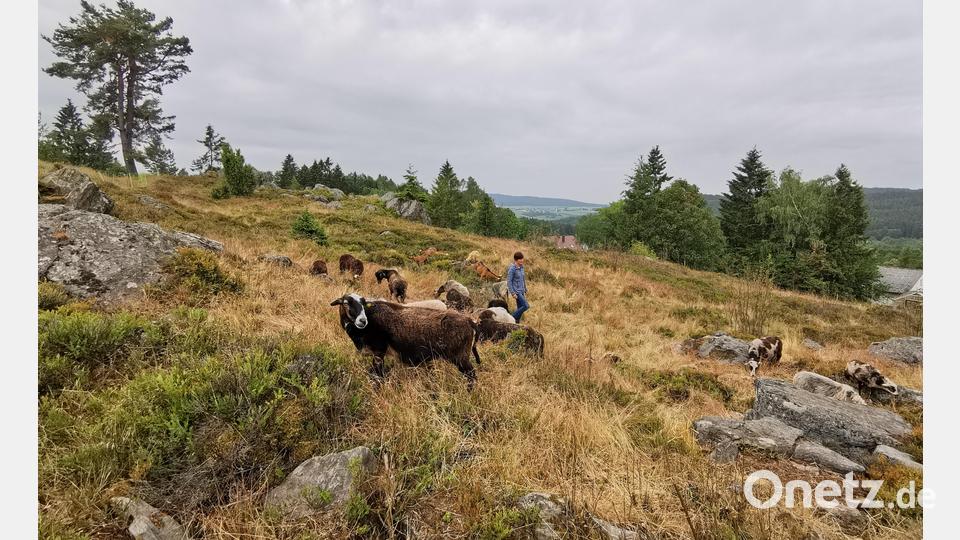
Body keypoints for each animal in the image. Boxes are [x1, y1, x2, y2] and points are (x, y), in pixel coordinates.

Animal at [330, 293, 481, 386]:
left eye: (364, 303)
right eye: (346, 303)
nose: (362, 320)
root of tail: (469, 321)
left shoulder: (379, 351)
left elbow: (377, 375)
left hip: (460, 357)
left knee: (472, 376)